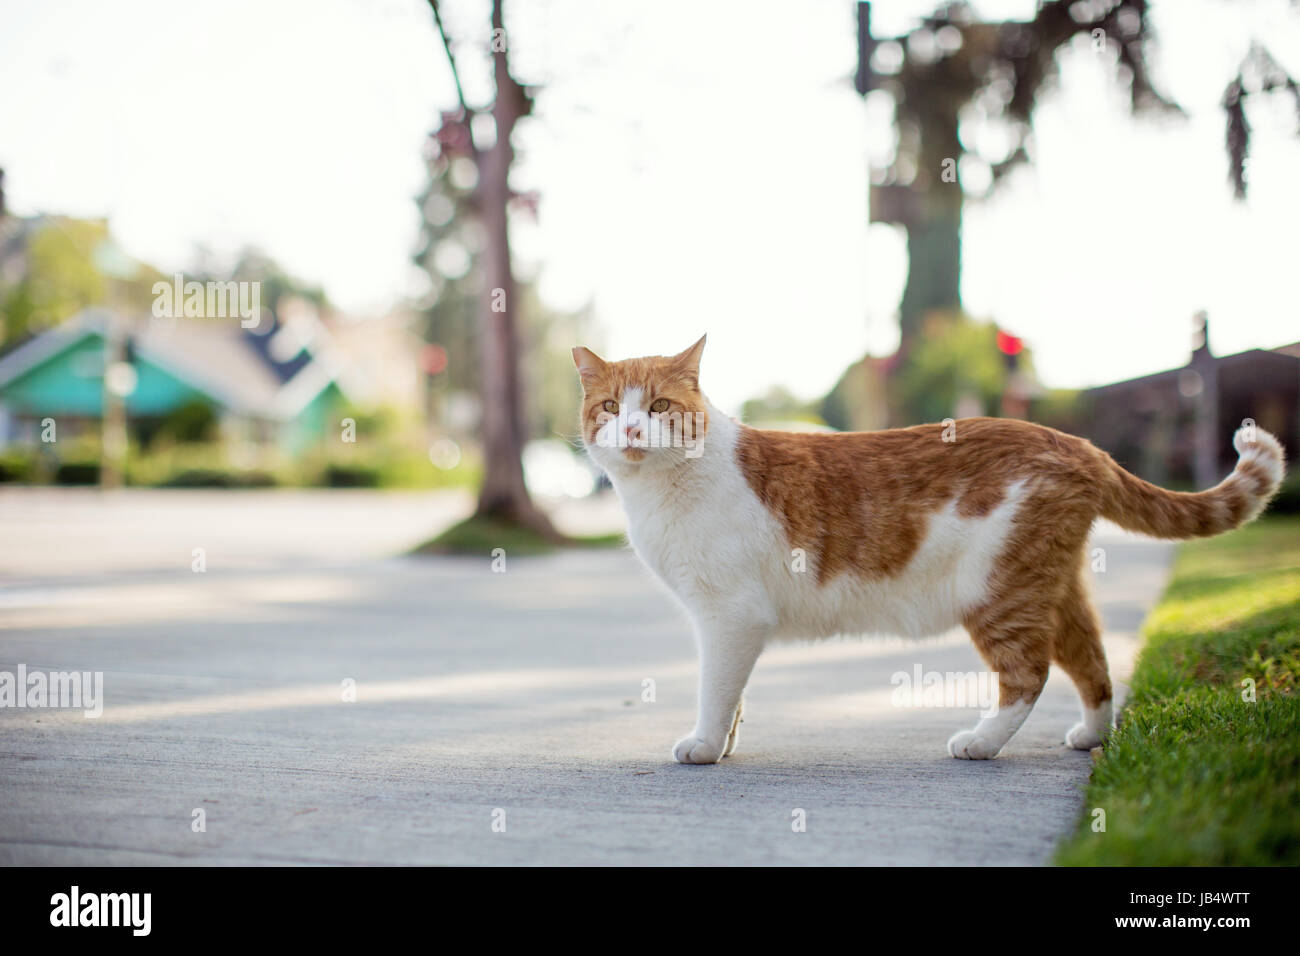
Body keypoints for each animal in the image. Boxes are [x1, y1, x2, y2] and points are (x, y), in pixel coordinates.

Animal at [574, 335, 1284, 764]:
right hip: (1051, 588)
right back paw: (1091, 736)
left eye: (658, 407)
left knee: (1028, 673)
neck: (662, 492)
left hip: (999, 593)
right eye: (609, 406)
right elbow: (735, 697)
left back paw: (981, 742)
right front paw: (721, 745)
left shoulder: (729, 616)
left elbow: (716, 691)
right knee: (1094, 663)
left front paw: (702, 744)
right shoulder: (730, 624)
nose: (631, 429)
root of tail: (1075, 441)